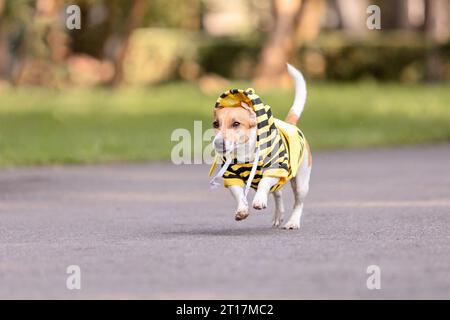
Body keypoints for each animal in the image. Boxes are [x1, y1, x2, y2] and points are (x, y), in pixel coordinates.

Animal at [209, 64, 312, 230]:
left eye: (236, 124)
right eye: (215, 124)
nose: (218, 143)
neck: (245, 154)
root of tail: (290, 124)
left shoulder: (275, 169)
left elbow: (264, 181)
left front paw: (258, 201)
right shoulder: (231, 177)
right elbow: (239, 193)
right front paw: (242, 210)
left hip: (301, 183)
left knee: (298, 203)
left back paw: (293, 222)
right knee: (278, 194)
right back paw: (278, 216)